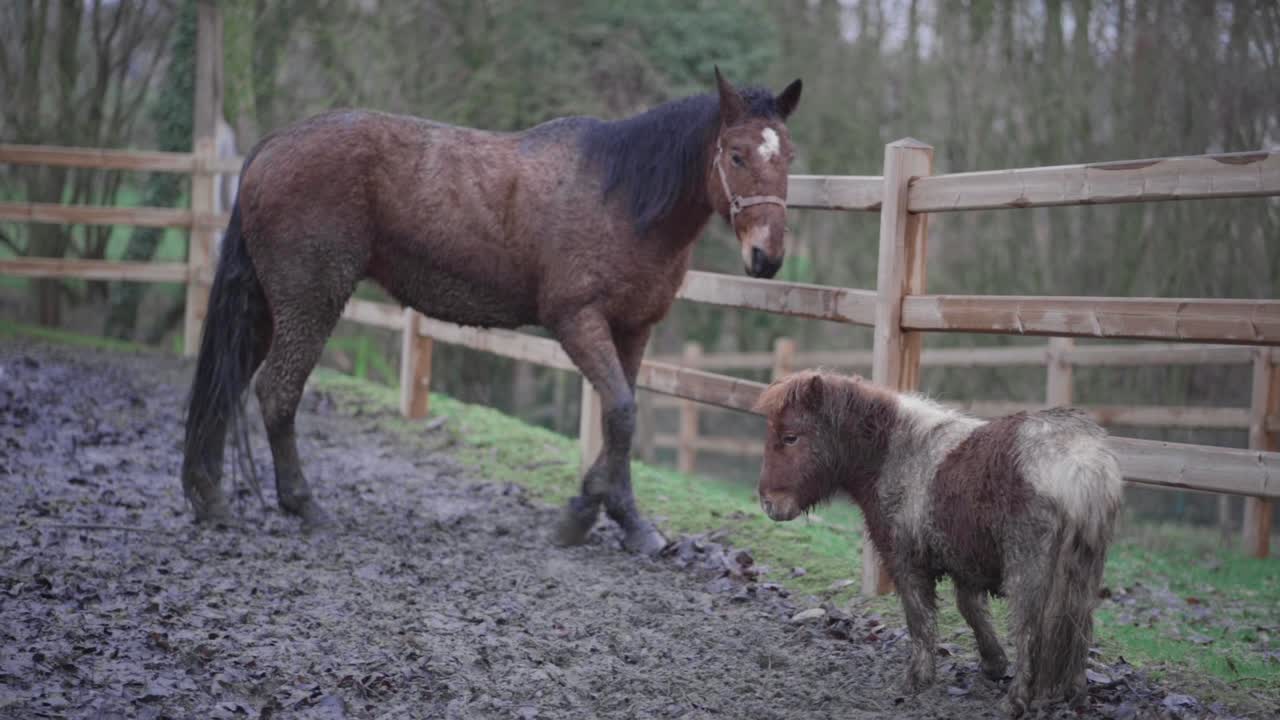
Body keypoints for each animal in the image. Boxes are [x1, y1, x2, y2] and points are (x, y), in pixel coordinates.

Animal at [180, 68, 803, 555]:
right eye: (736, 154)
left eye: (789, 157)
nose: (767, 257)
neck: (622, 198)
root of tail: (271, 146)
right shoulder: (577, 321)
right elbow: (622, 414)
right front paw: (586, 514)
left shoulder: (632, 331)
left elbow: (618, 418)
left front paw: (625, 519)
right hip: (310, 300)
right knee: (276, 392)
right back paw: (303, 505)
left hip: (268, 306)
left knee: (228, 384)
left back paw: (210, 498)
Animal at [753, 371, 1123, 717]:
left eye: (790, 437)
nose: (770, 505)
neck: (895, 453)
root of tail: (1080, 467)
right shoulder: (965, 561)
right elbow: (970, 609)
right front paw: (992, 663)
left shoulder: (907, 561)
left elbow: (920, 620)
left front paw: (916, 680)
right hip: (1083, 574)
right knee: (1079, 629)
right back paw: (1074, 695)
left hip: (1028, 571)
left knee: (1030, 630)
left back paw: (1015, 701)